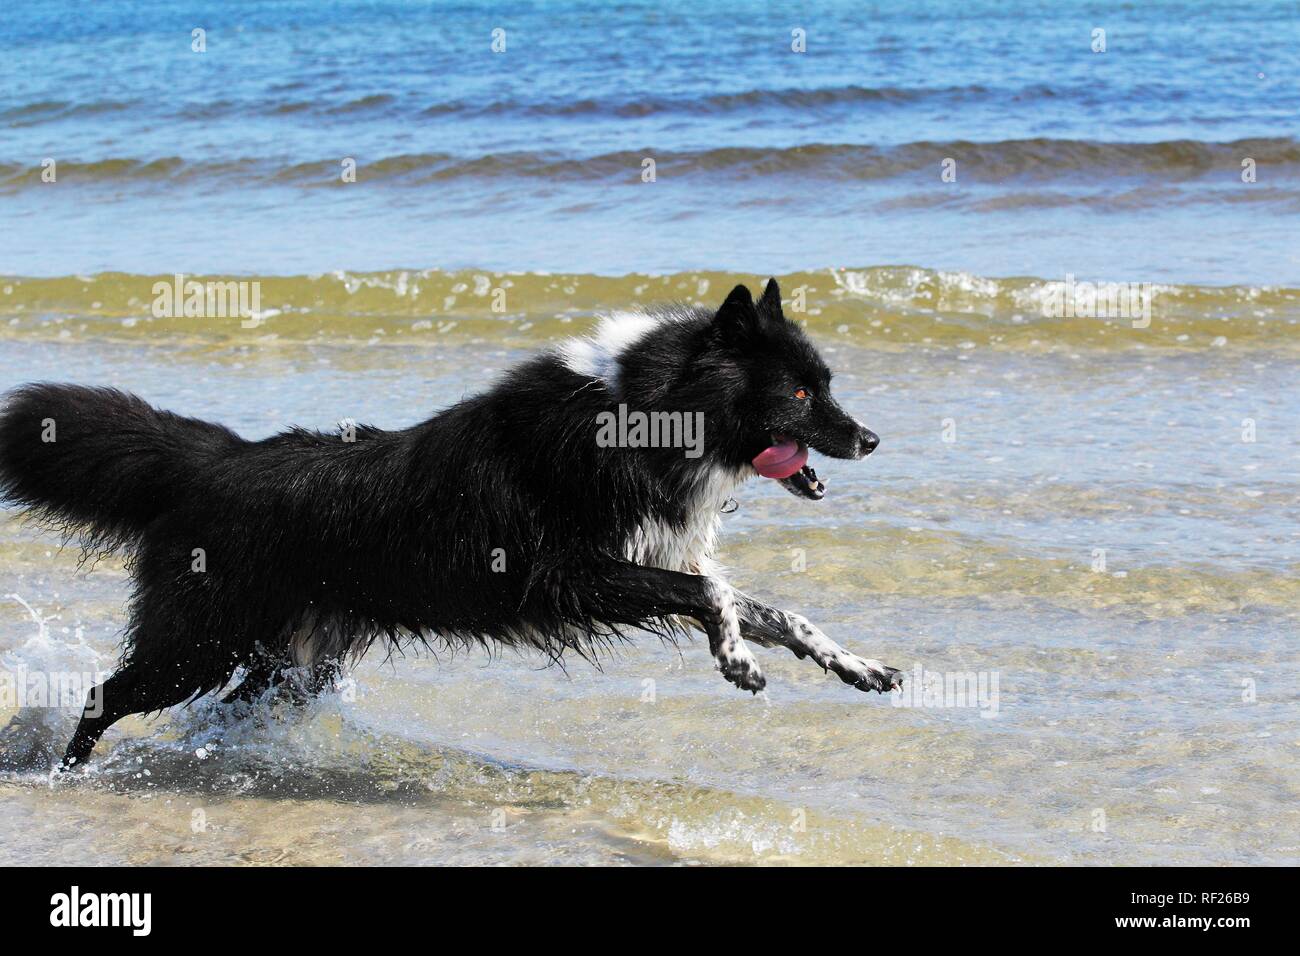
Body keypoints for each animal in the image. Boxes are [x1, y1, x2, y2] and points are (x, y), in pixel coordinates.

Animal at [0, 278, 899, 770]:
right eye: (799, 392)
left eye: (825, 383)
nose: (870, 439)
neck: (640, 412)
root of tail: (218, 458)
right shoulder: (578, 575)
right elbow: (713, 595)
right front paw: (737, 661)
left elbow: (772, 607)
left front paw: (854, 665)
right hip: (198, 643)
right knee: (101, 696)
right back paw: (66, 773)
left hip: (286, 663)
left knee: (209, 714)